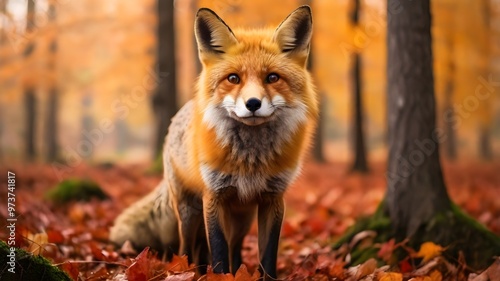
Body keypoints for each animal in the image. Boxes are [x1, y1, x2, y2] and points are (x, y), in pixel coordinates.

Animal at [111, 4, 318, 278]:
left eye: (273, 78)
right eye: (233, 78)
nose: (253, 103)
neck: (251, 159)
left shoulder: (273, 198)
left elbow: (267, 254)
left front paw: (260, 276)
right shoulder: (214, 196)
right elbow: (218, 251)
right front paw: (221, 276)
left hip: (242, 217)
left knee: (233, 247)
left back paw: (232, 269)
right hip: (189, 211)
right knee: (188, 247)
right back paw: (187, 270)